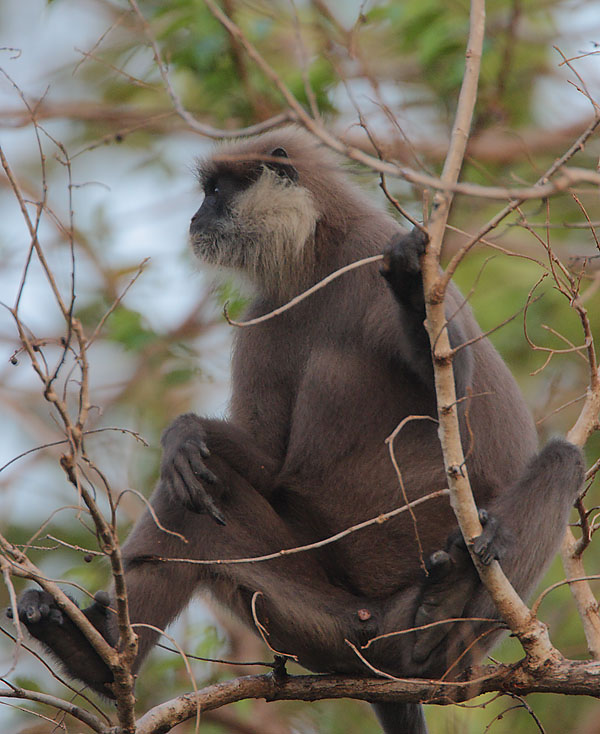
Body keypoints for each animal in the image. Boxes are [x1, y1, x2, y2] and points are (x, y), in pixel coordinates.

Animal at [14, 128, 584, 734]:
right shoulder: (266, 312)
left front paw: (410, 286)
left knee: (563, 459)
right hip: (321, 620)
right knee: (189, 496)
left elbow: (454, 379)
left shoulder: (367, 253)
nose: (195, 216)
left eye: (216, 191)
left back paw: (445, 608)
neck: (318, 254)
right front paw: (185, 433)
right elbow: (266, 461)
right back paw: (96, 660)